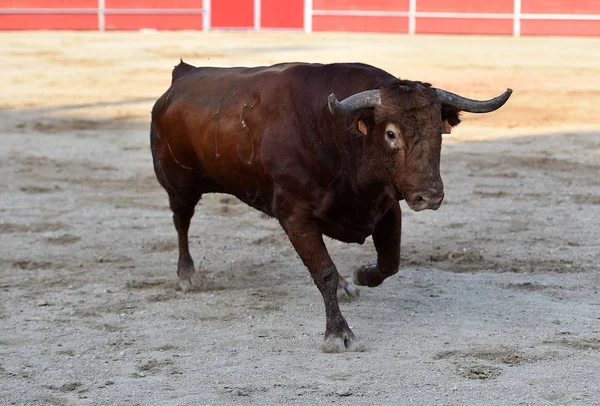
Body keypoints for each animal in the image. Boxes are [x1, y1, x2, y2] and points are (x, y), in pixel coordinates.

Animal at [150, 58, 510, 350]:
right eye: (391, 134)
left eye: (440, 131)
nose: (429, 196)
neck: (339, 138)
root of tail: (182, 76)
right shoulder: (295, 216)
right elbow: (323, 272)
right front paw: (338, 333)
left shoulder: (386, 206)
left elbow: (389, 262)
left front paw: (362, 276)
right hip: (179, 184)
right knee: (181, 221)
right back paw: (187, 275)